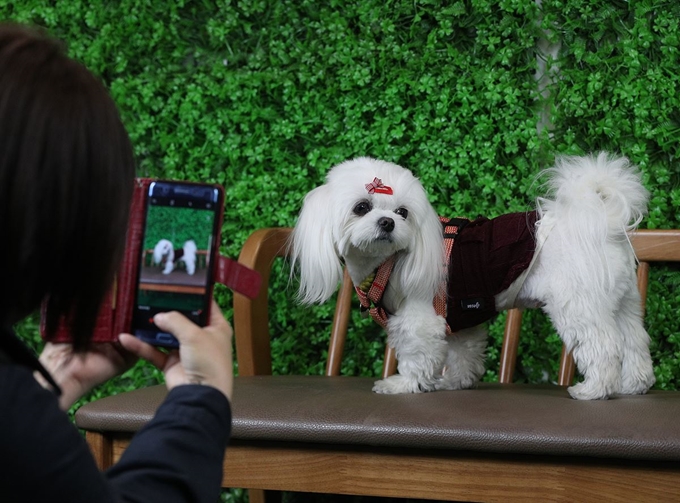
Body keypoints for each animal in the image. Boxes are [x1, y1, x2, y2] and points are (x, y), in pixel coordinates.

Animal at [290, 154, 656, 402]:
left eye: (402, 212)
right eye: (362, 207)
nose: (388, 223)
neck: (385, 263)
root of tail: (601, 221)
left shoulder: (420, 315)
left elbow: (417, 351)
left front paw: (403, 384)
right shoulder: (461, 315)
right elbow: (464, 350)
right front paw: (457, 382)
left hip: (579, 303)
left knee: (604, 346)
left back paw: (594, 390)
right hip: (622, 301)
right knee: (634, 340)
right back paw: (634, 384)